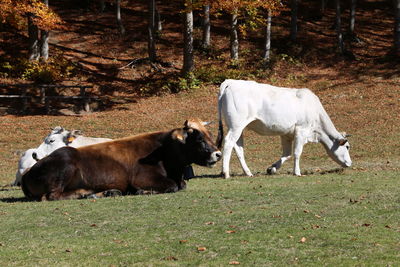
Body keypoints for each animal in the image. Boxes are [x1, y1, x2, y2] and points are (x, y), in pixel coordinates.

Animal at [21, 119, 222, 201]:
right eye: (199, 139)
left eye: (210, 135)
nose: (218, 154)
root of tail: (27, 172)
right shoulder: (143, 178)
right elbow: (171, 186)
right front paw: (142, 192)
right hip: (65, 163)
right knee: (52, 196)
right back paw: (85, 193)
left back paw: (103, 193)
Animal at [217, 80, 352, 180]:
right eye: (347, 147)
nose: (350, 163)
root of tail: (231, 82)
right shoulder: (301, 131)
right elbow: (297, 153)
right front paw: (297, 172)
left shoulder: (286, 134)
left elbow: (287, 154)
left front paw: (272, 169)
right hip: (236, 126)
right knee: (229, 143)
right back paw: (226, 173)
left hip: (236, 127)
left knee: (238, 148)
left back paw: (248, 172)